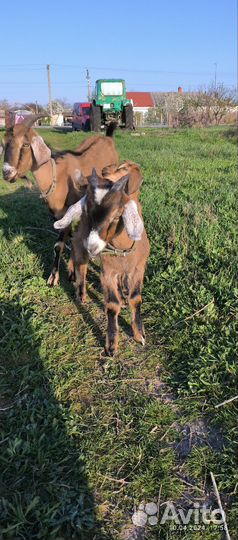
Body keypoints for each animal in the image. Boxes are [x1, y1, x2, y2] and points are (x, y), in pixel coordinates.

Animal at [0, 117, 118, 286]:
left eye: (26, 144)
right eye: (4, 143)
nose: (7, 173)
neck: (57, 178)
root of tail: (107, 137)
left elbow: (59, 244)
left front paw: (57, 276)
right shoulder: (58, 216)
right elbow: (67, 240)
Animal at [55, 160, 150, 354]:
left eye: (117, 214)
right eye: (86, 210)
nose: (93, 246)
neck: (122, 249)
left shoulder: (138, 268)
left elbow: (135, 298)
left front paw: (139, 334)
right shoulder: (108, 272)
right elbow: (112, 305)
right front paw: (111, 345)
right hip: (78, 238)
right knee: (79, 260)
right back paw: (80, 291)